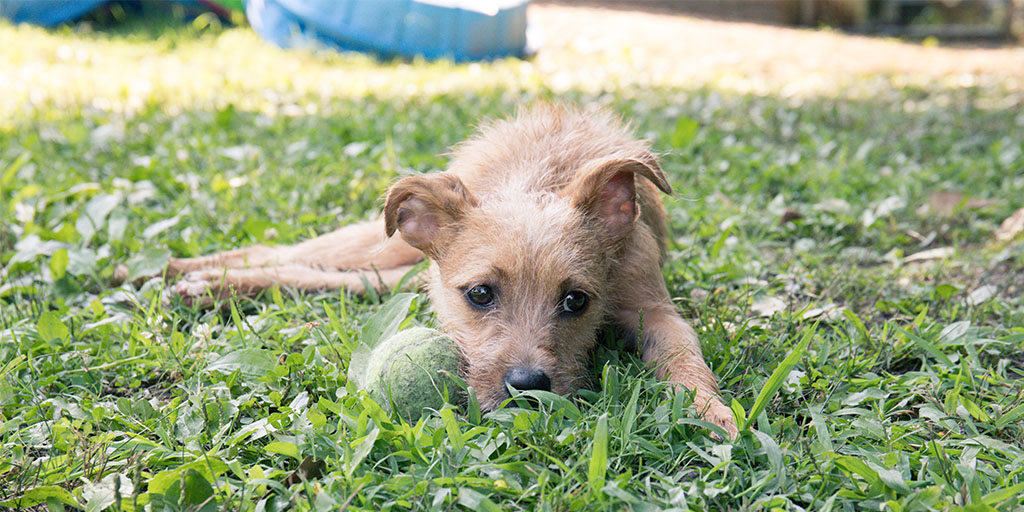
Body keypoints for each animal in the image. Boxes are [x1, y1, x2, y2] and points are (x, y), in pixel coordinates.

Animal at [169, 104, 745, 440]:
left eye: (576, 301)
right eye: (481, 294)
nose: (527, 387)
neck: (535, 180)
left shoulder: (656, 310)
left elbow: (684, 357)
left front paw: (708, 409)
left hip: (398, 273)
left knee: (329, 276)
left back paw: (211, 284)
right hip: (385, 251)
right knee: (290, 249)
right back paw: (204, 269)